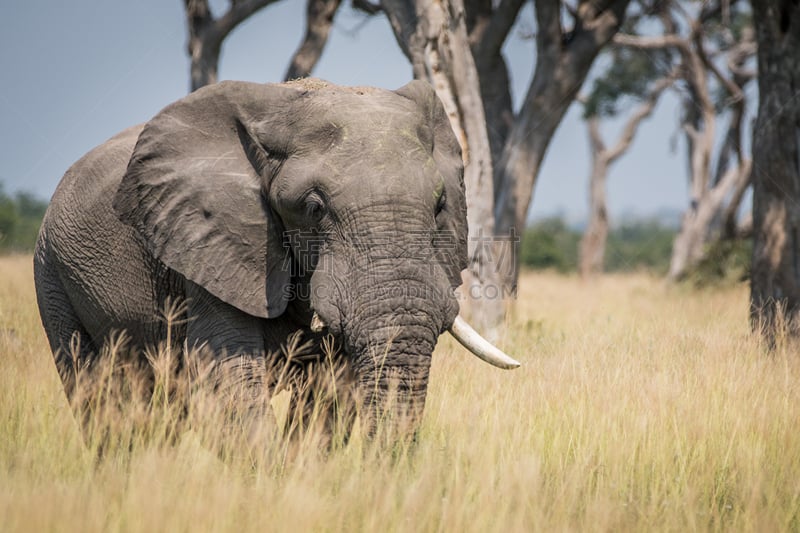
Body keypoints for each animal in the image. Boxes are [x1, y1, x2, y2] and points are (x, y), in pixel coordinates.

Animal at [32, 77, 520, 442]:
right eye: (314, 207)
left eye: (440, 205)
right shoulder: (210, 247)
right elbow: (225, 372)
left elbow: (330, 393)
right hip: (52, 273)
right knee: (98, 394)